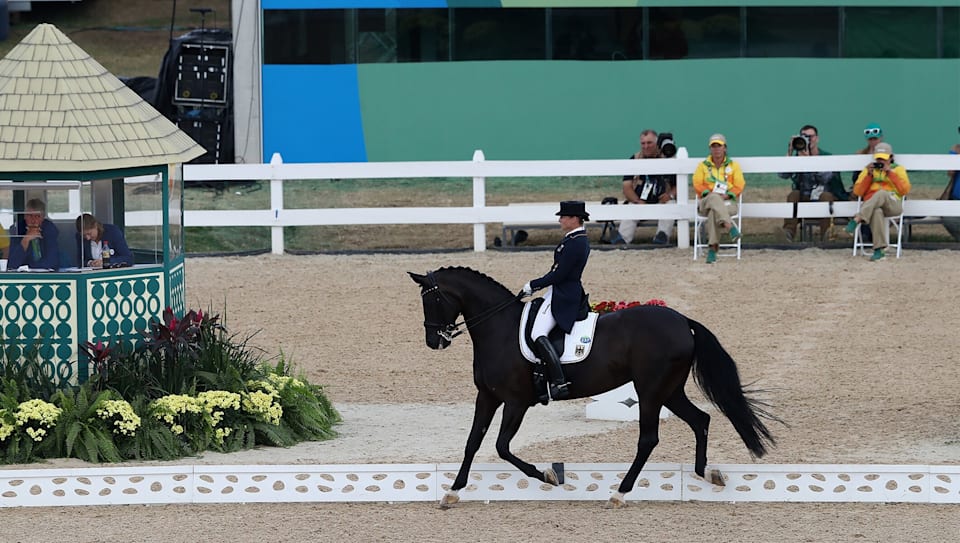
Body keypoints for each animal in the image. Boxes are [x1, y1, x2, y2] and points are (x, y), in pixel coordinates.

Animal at [409, 266, 777, 508]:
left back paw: (619, 493)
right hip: (669, 390)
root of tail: (682, 321)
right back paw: (705, 474)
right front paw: (452, 492)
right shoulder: (486, 397)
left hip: (650, 391)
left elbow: (501, 447)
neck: (499, 330)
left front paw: (548, 475)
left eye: (432, 300)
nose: (433, 341)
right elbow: (472, 443)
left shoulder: (516, 402)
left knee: (649, 439)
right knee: (701, 420)